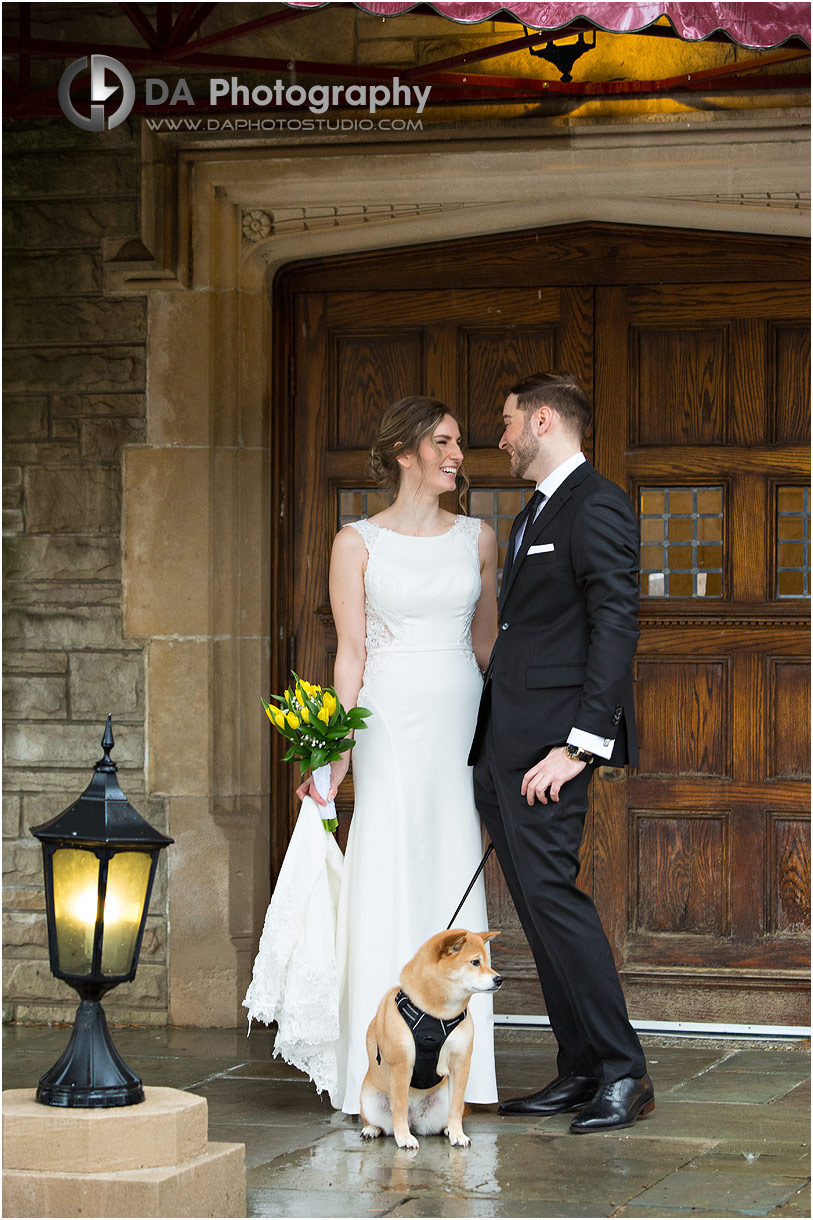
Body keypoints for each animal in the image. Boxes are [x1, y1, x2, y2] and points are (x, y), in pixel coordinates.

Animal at [358, 927, 498, 1146]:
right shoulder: (401, 1065)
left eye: (487, 962)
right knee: (377, 1119)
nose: (499, 979)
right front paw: (403, 1138)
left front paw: (458, 1134)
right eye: (476, 962)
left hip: (442, 1098)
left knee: (446, 1116)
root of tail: (415, 1122)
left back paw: (448, 1129)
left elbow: (457, 1106)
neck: (437, 1014)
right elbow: (399, 1107)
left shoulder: (461, 1062)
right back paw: (372, 1129)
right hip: (369, 1099)